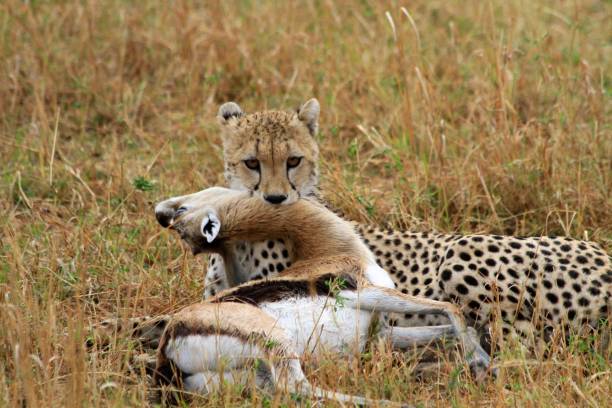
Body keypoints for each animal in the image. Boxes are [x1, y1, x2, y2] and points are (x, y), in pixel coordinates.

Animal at [203, 99, 608, 350]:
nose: (274, 199)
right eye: (252, 163)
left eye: (293, 161)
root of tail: (603, 253)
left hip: (461, 252)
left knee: (524, 344)